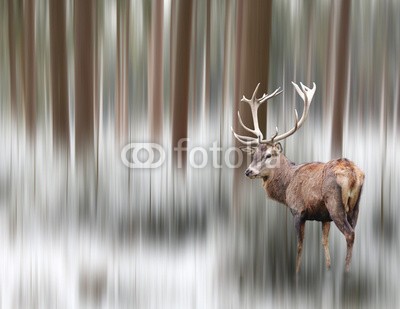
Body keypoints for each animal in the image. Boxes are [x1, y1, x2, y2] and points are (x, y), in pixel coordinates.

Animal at [231, 82, 366, 272]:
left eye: (269, 155)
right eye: (254, 154)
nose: (248, 171)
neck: (286, 185)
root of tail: (354, 173)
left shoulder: (298, 210)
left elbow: (300, 246)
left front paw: (296, 271)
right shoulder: (324, 217)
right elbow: (324, 243)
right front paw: (328, 268)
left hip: (335, 204)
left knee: (349, 234)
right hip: (356, 207)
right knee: (354, 231)